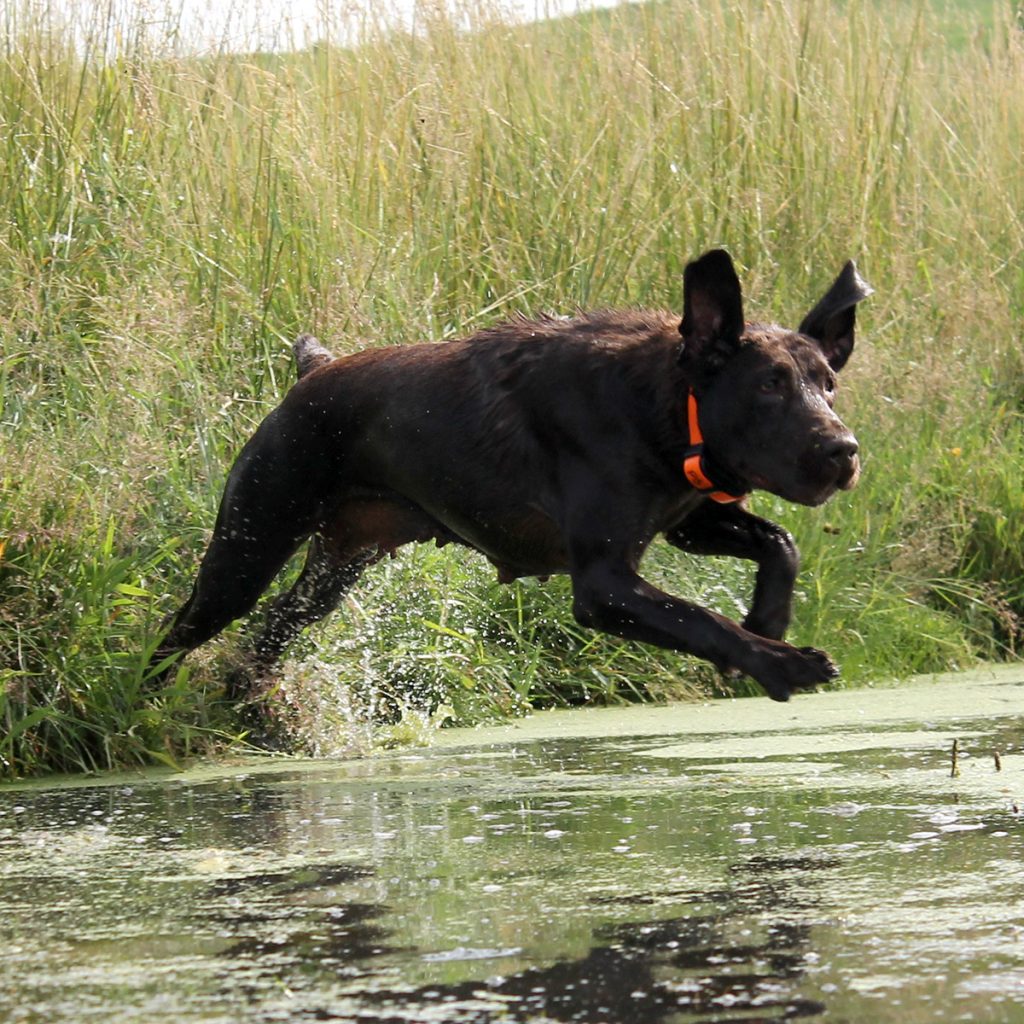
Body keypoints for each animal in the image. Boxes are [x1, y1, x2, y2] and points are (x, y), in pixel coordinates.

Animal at [153, 251, 872, 708]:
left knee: (273, 627)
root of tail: (311, 373)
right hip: (250, 544)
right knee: (180, 631)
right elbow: (704, 620)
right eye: (768, 385)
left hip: (338, 562)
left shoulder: (686, 520)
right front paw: (781, 662)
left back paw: (249, 702)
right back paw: (145, 705)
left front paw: (770, 620)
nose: (844, 451)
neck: (665, 405)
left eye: (828, 385)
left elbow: (780, 543)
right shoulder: (604, 585)